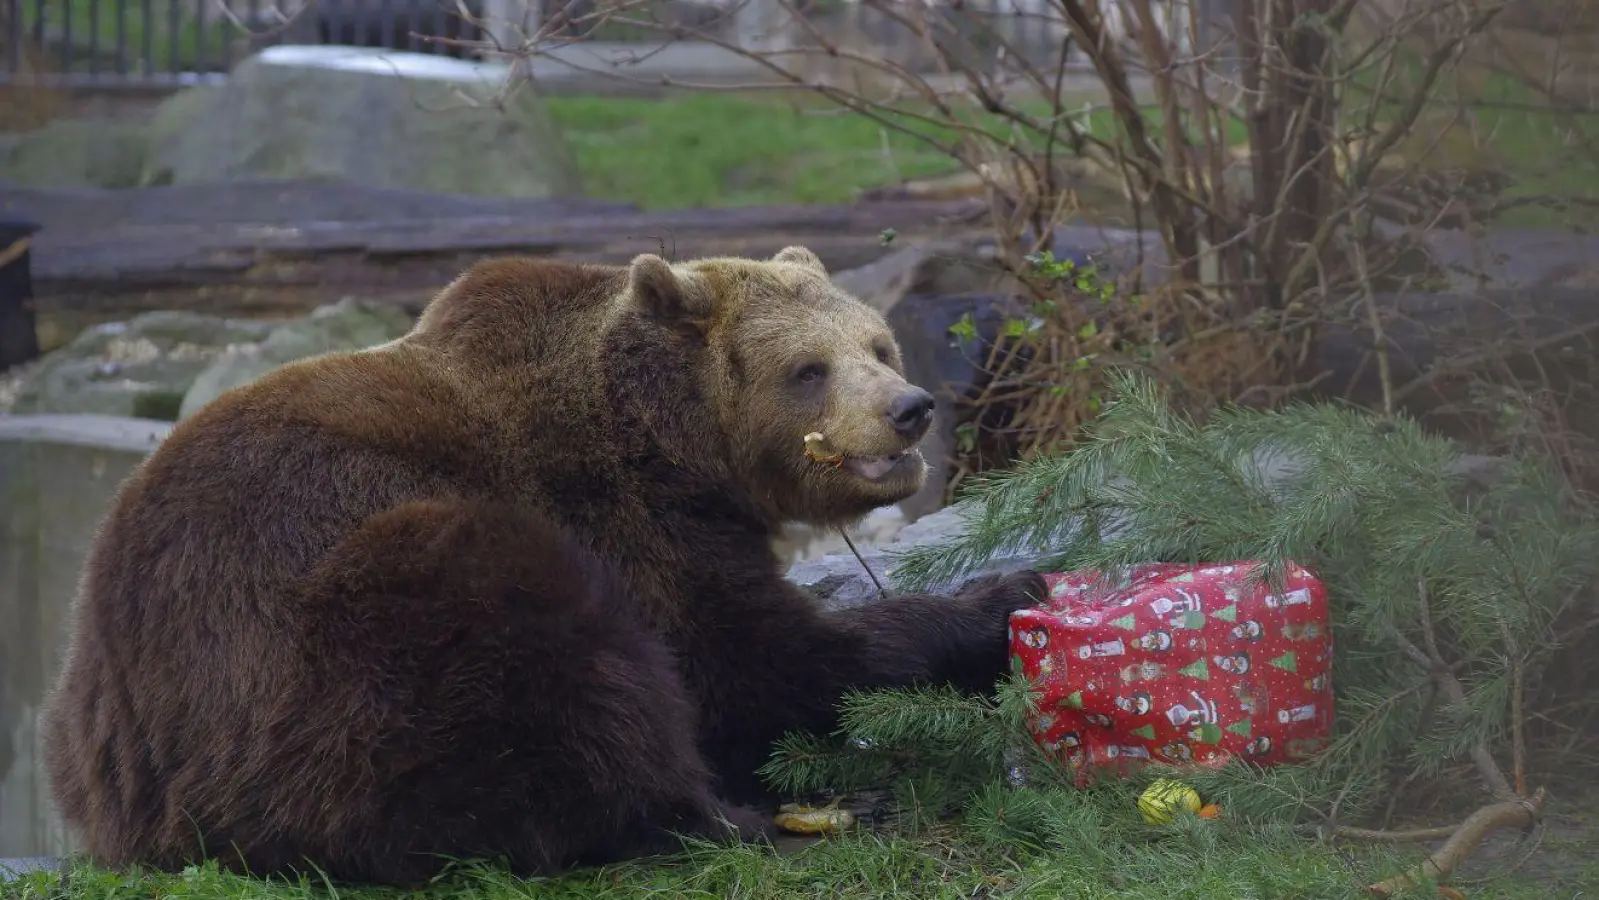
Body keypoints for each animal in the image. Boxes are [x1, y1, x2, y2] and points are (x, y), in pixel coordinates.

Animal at [37, 246, 1042, 888]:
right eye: (807, 368)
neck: (676, 443)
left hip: (90, 725)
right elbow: (746, 660)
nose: (909, 408)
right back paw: (731, 816)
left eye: (878, 344)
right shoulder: (618, 512)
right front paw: (994, 601)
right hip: (312, 643)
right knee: (552, 662)